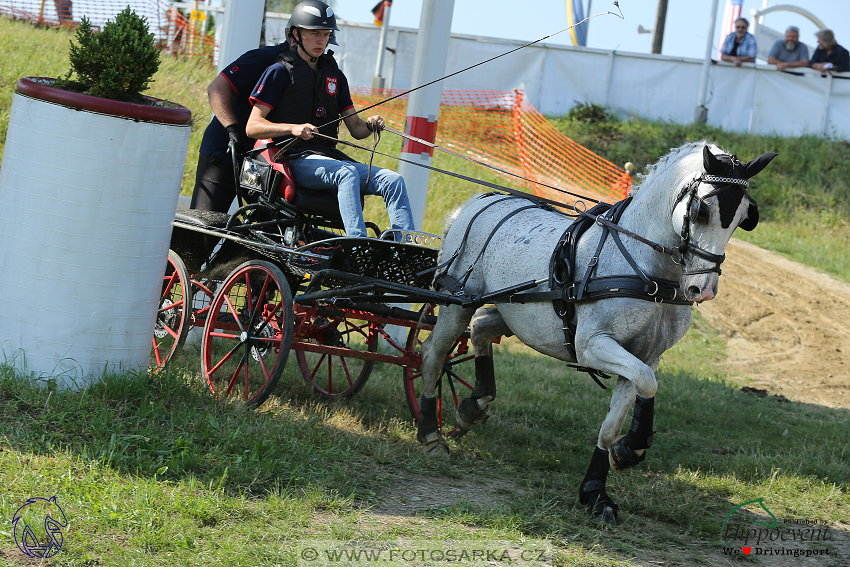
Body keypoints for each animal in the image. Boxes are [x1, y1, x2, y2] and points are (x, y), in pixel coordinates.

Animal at [414, 142, 772, 528]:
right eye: (702, 209)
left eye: (743, 217)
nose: (702, 289)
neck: (645, 268)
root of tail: (477, 202)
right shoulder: (592, 345)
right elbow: (647, 384)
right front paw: (630, 449)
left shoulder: (646, 356)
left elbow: (624, 410)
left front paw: (601, 484)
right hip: (456, 304)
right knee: (432, 355)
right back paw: (430, 433)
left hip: (516, 314)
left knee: (480, 326)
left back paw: (475, 402)